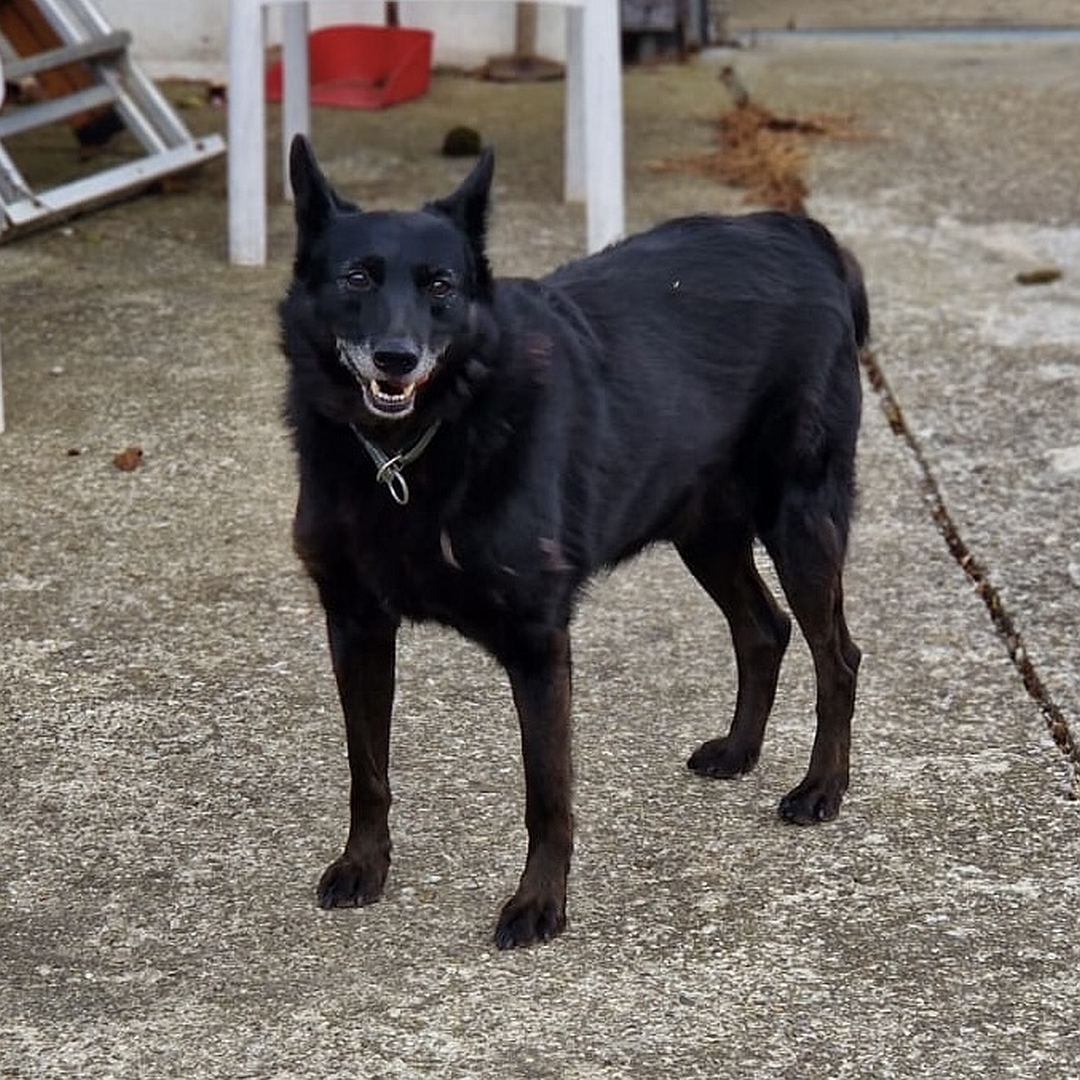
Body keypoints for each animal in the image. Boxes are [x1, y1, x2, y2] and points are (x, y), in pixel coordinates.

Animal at [280, 132, 868, 946]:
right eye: (357, 277)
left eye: (441, 286)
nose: (396, 358)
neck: (412, 450)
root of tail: (802, 234)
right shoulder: (356, 626)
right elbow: (367, 771)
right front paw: (364, 865)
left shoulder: (537, 642)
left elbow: (546, 793)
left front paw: (539, 903)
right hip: (704, 527)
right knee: (763, 628)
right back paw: (740, 751)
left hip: (800, 519)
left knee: (837, 655)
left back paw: (821, 787)